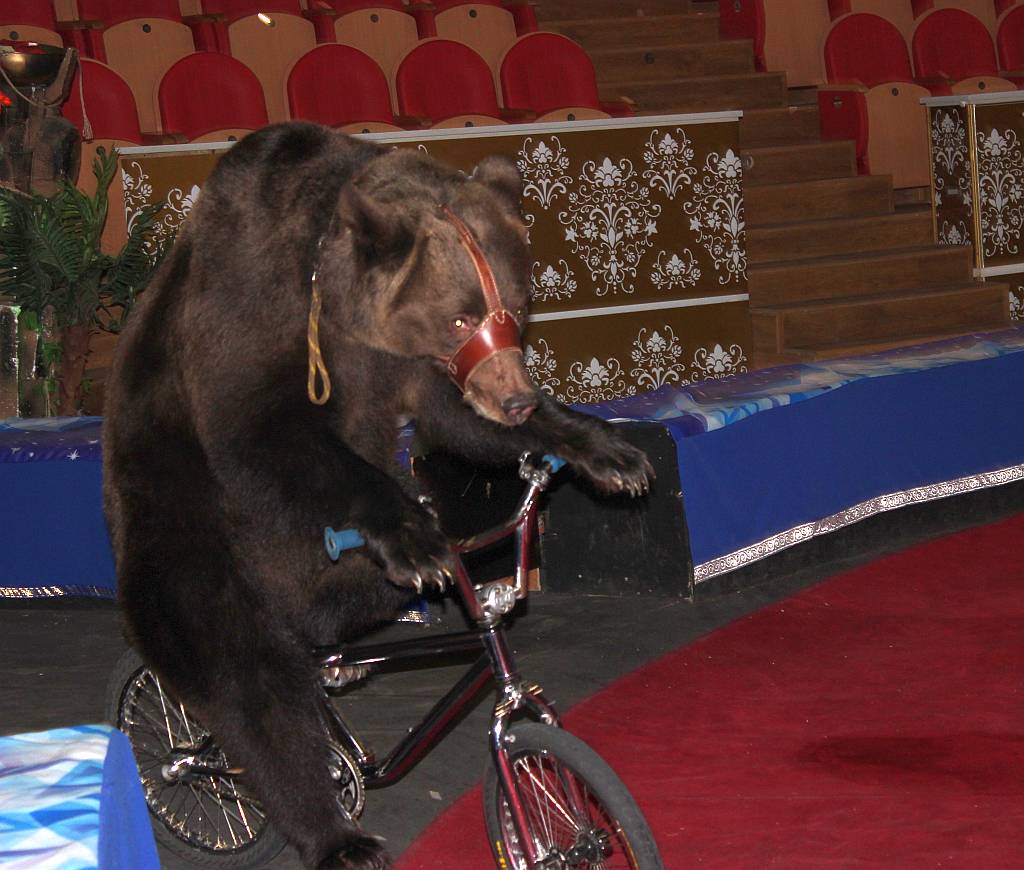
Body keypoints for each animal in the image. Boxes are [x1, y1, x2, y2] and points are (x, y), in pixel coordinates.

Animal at [101, 118, 647, 863]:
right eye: (459, 316)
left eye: (515, 305)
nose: (516, 399)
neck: (332, 292)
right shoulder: (250, 307)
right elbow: (259, 429)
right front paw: (413, 530)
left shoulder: (406, 364)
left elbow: (453, 416)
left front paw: (606, 450)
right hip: (183, 538)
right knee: (243, 677)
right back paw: (331, 832)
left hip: (329, 578)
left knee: (336, 616)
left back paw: (337, 663)